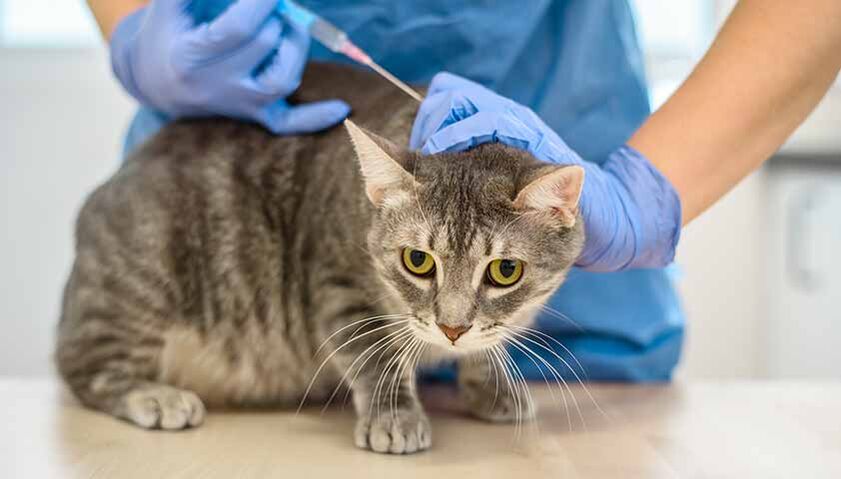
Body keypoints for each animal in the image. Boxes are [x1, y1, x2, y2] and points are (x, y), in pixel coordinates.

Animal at [57, 62, 584, 454]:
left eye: (505, 271)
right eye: (417, 260)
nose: (451, 329)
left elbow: (489, 346)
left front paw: (492, 385)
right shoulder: (336, 287)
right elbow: (376, 356)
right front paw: (394, 415)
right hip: (142, 279)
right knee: (84, 366)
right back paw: (155, 395)